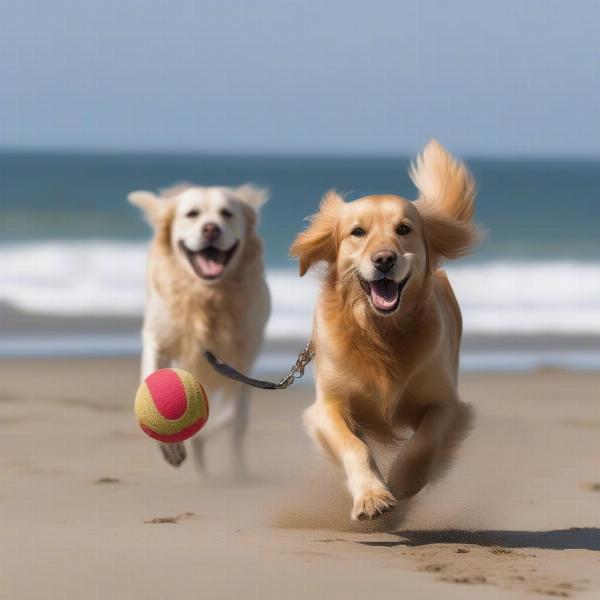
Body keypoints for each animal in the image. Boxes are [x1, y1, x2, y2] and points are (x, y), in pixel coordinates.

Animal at [131, 185, 272, 476]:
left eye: (227, 213)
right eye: (192, 214)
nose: (211, 229)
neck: (206, 295)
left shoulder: (244, 357)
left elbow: (231, 414)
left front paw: (199, 440)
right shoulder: (157, 339)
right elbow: (150, 375)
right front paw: (171, 446)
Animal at [290, 141, 482, 520]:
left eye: (404, 229)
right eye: (357, 232)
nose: (384, 259)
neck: (381, 331)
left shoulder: (446, 403)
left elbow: (423, 442)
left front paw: (402, 483)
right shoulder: (328, 404)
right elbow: (354, 445)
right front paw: (372, 495)